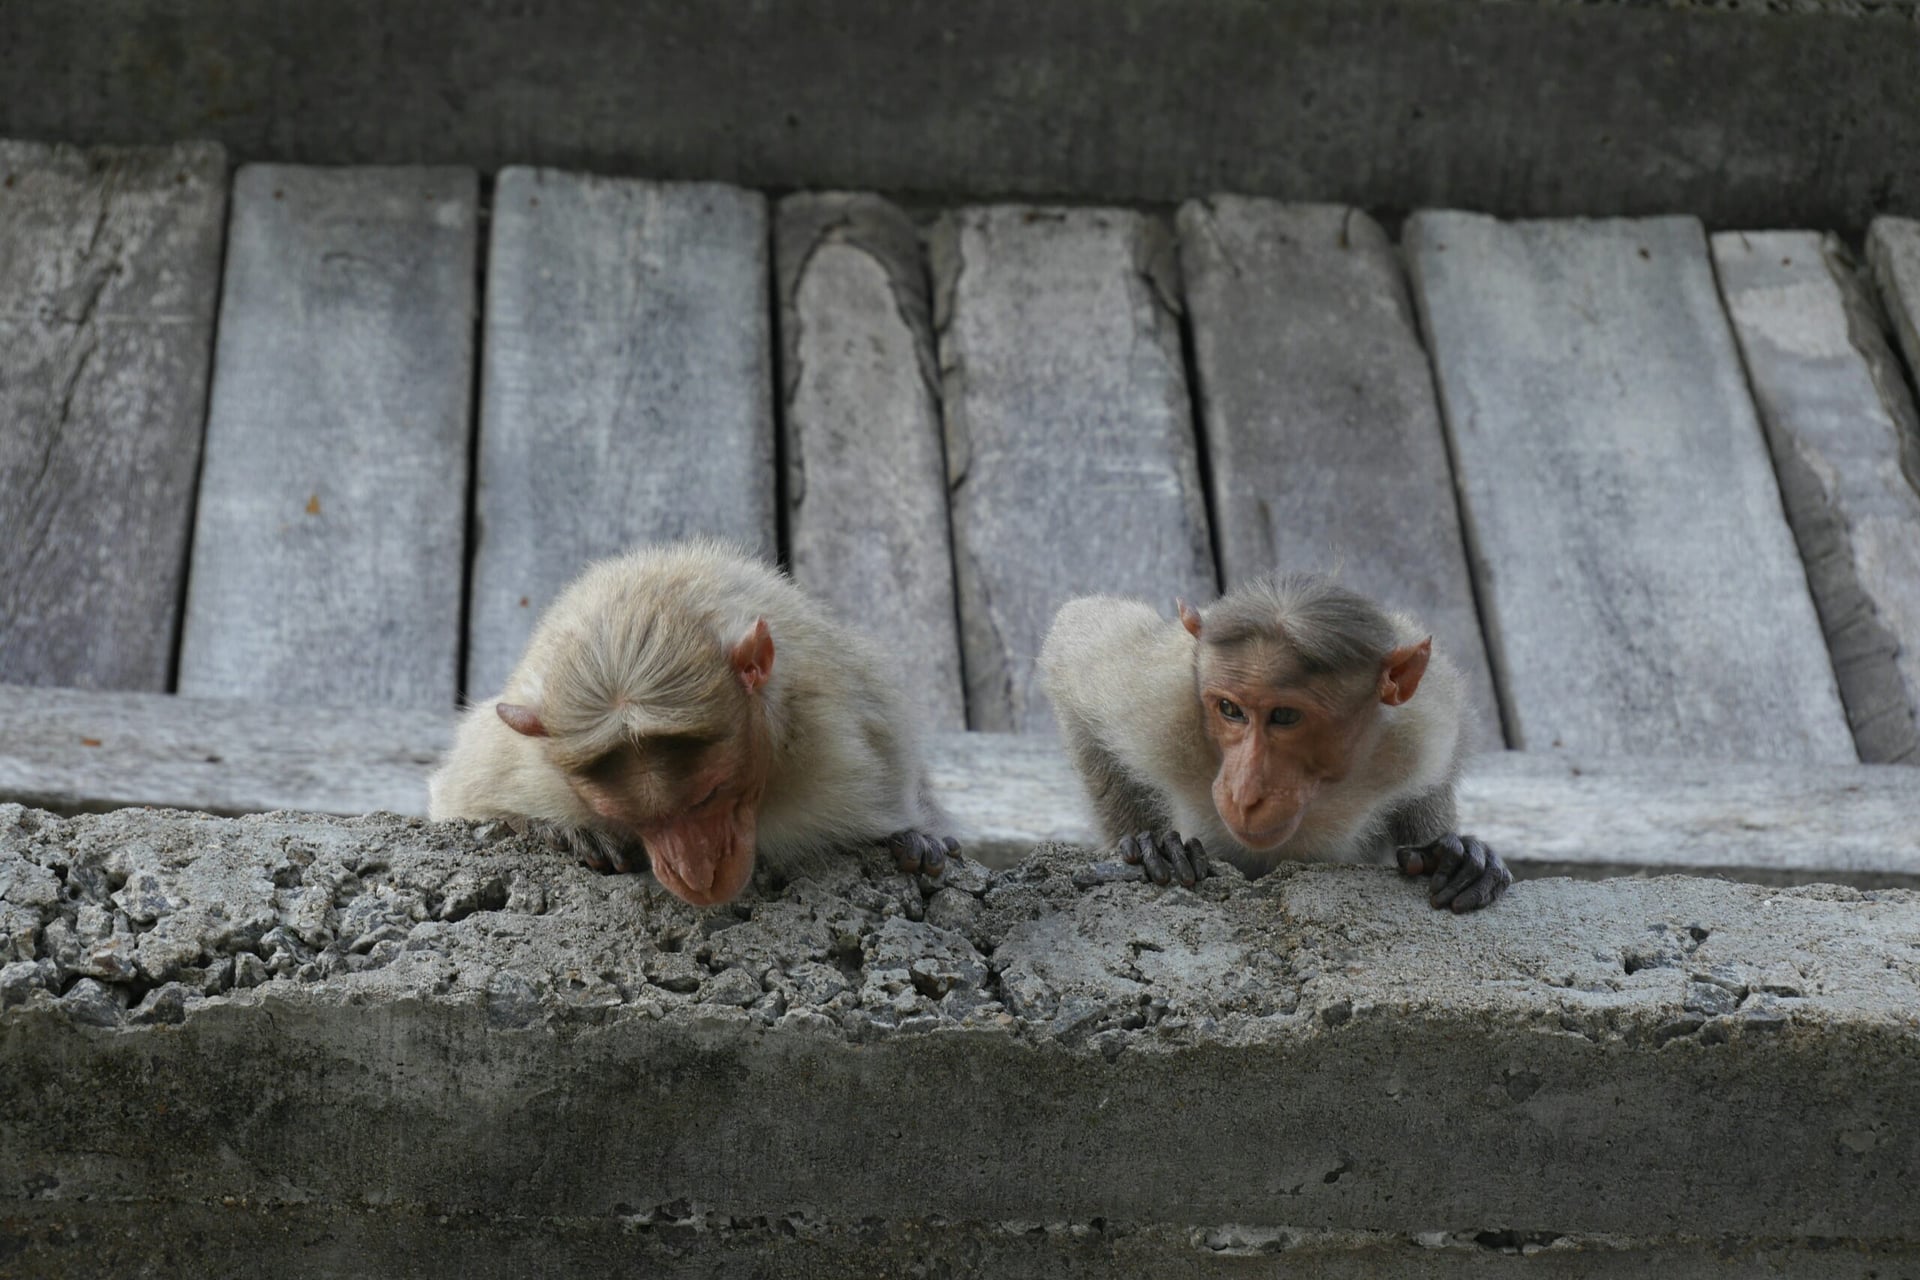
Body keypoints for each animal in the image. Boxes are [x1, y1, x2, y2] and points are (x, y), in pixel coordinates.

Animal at [428, 540, 959, 907]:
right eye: (637, 820)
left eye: (709, 796)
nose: (697, 877)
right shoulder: (523, 765)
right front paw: (563, 830)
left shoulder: (842, 739)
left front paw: (916, 837)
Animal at [1037, 573, 1510, 912]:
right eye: (1230, 709)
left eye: (1285, 716)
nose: (1245, 793)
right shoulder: (1154, 698)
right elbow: (1071, 647)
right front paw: (1151, 843)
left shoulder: (1423, 721)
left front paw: (1454, 853)